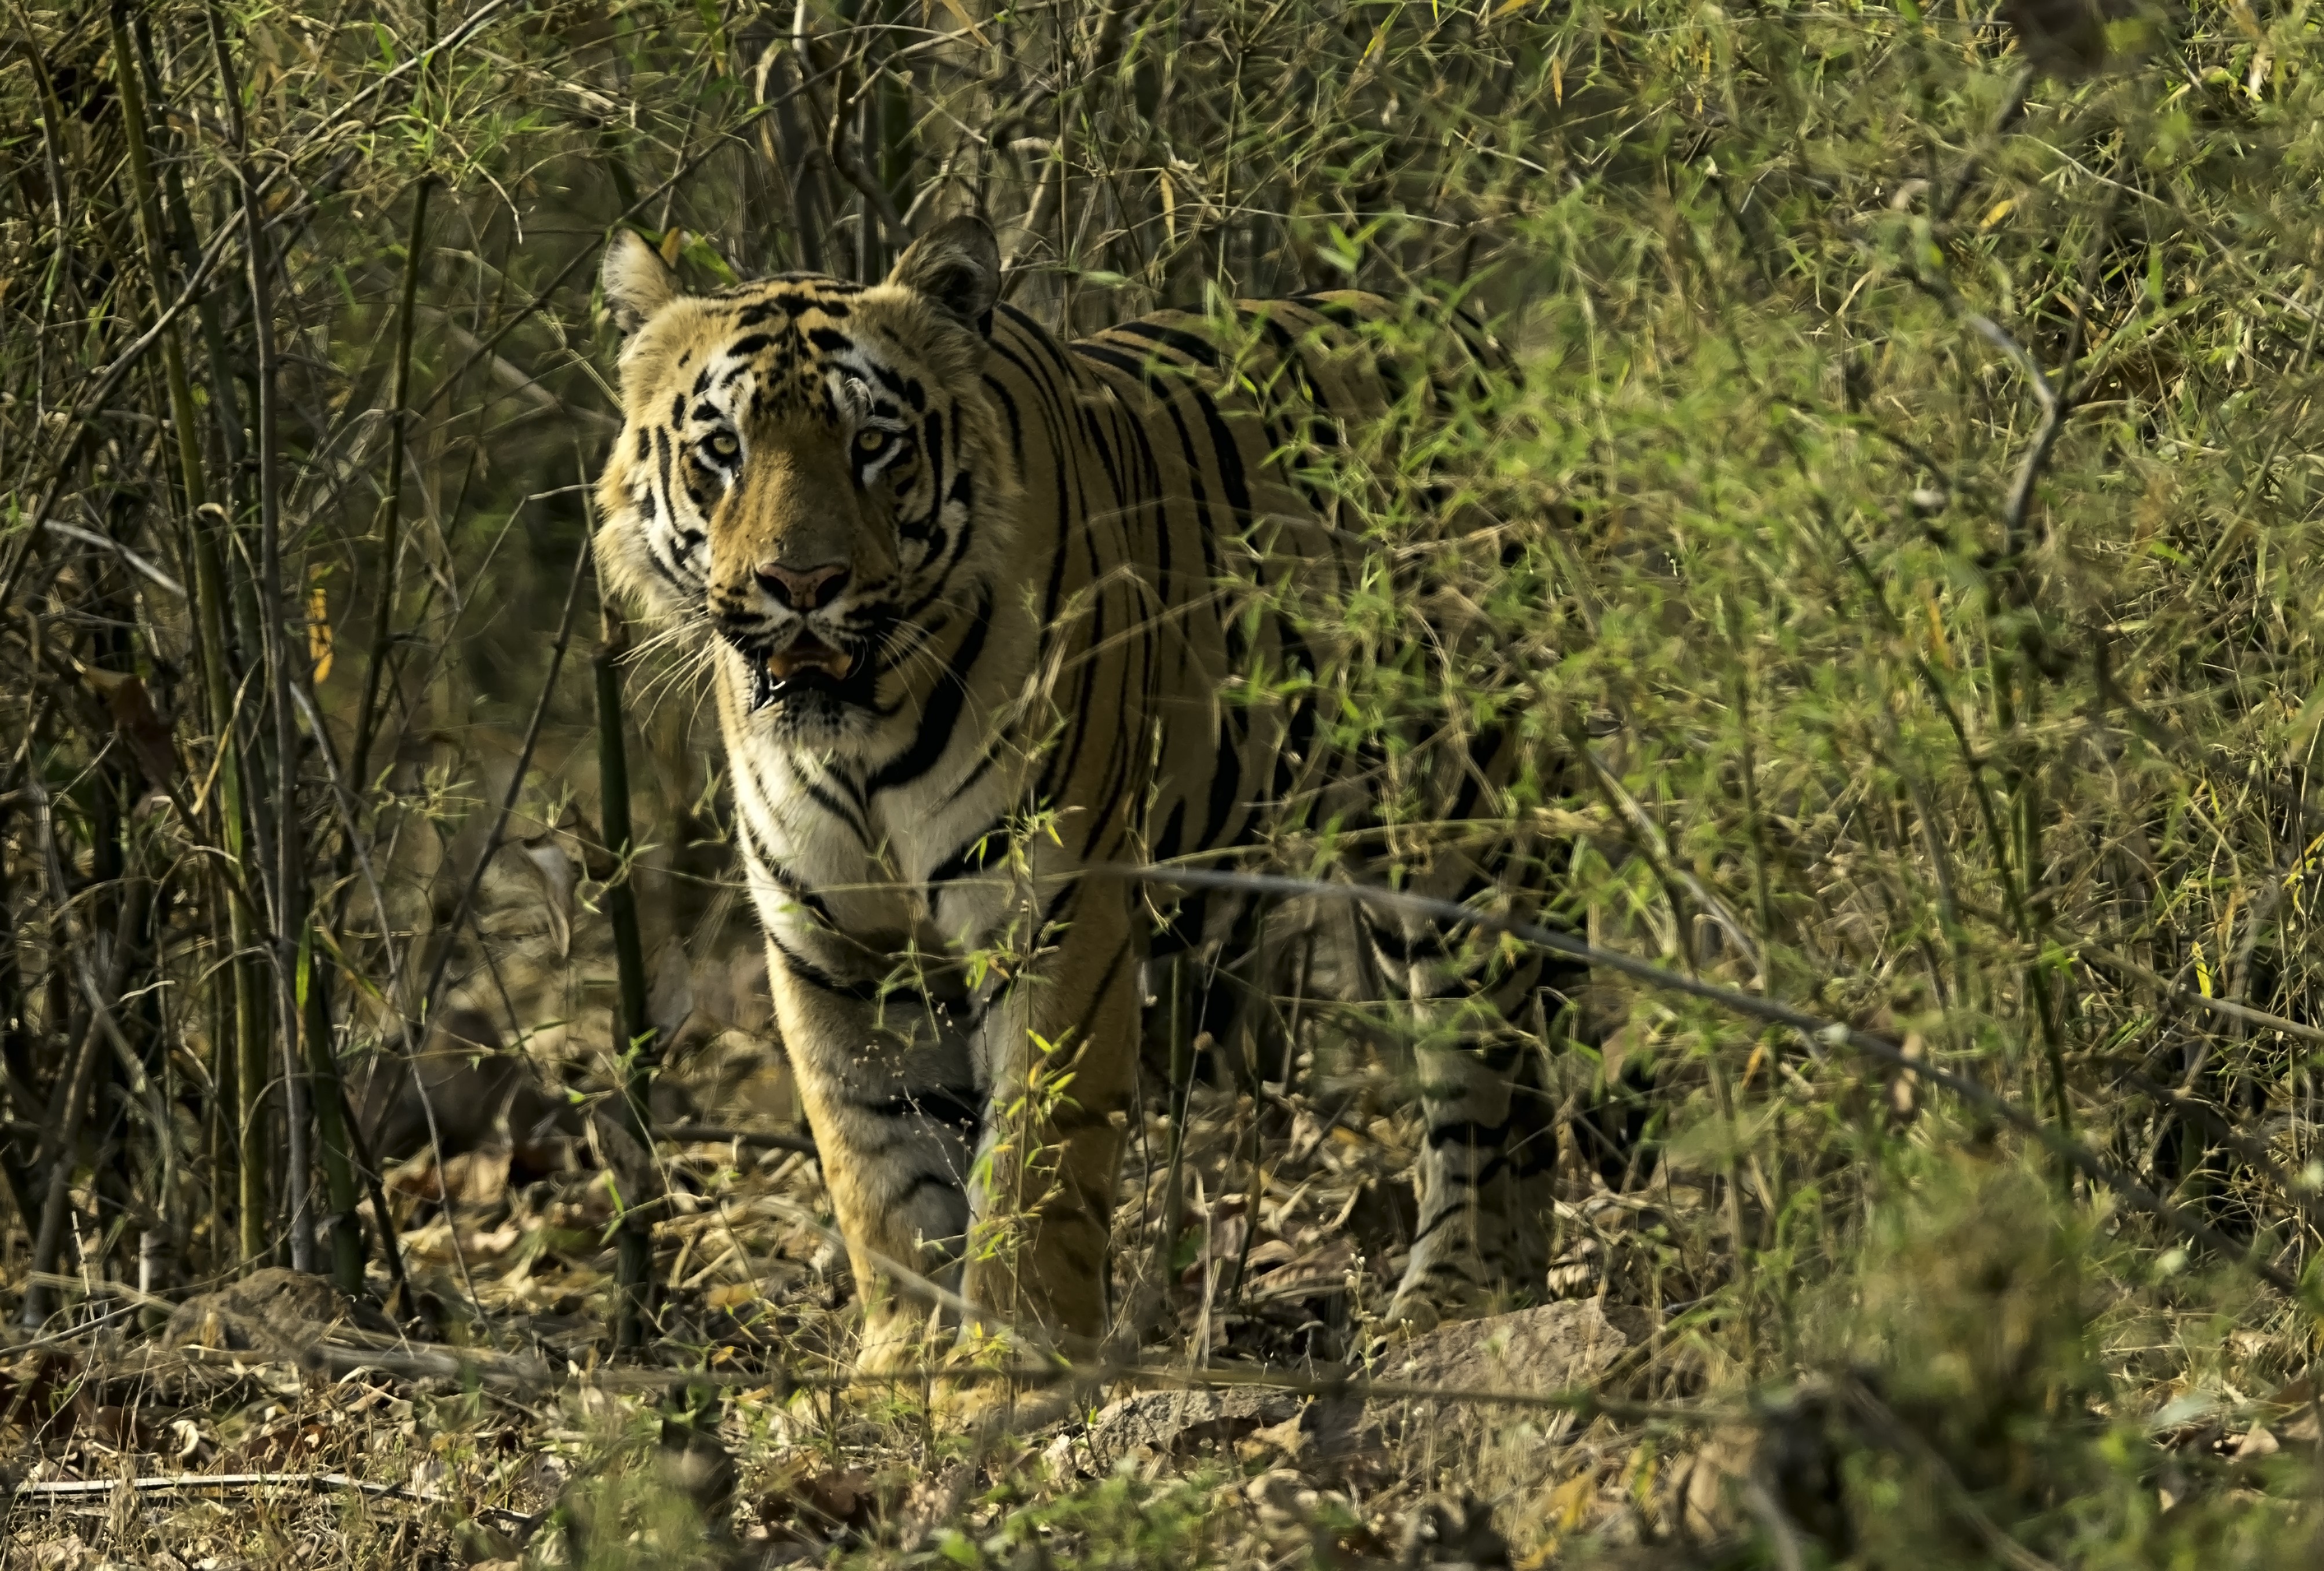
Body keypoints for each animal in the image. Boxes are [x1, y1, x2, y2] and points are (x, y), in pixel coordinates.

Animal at [592, 215, 1588, 1387]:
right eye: (723, 450)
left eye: (873, 443)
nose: (802, 585)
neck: (860, 736)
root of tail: (1472, 344)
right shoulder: (836, 952)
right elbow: (878, 1173)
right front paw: (900, 1369)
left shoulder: (1051, 916)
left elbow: (1034, 1168)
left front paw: (1000, 1377)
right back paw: (1514, 1288)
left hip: (1454, 829)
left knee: (1477, 1076)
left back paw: (1452, 1293)